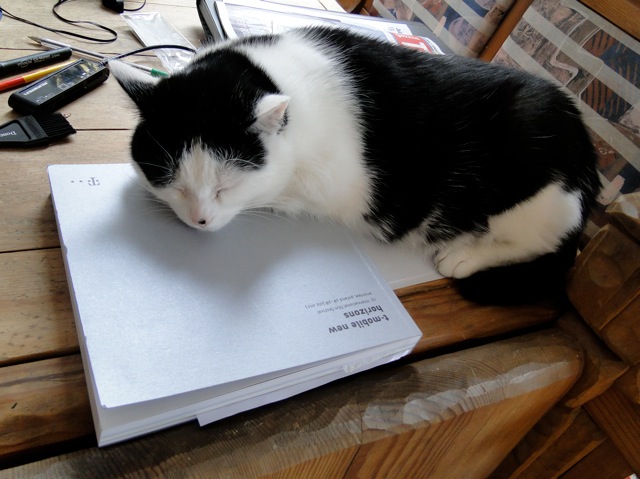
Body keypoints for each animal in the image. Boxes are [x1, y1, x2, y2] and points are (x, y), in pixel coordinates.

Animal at [109, 26, 601, 303]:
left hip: (535, 185)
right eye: (176, 184)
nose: (199, 220)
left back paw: (464, 255)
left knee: (548, 244)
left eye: (224, 188)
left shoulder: (330, 184)